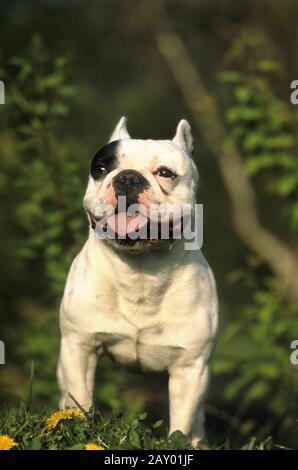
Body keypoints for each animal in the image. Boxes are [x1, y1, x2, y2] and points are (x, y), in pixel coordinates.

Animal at [57, 116, 218, 444]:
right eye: (100, 169)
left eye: (165, 173)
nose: (128, 178)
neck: (139, 269)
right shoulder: (78, 346)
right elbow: (80, 397)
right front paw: (80, 430)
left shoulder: (190, 368)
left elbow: (182, 421)